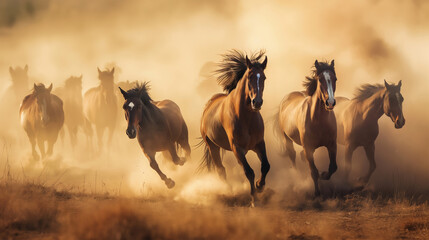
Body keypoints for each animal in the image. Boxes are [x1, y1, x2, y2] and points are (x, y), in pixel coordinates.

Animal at [200, 49, 268, 205]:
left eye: (264, 77)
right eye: (249, 76)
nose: (257, 102)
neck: (246, 118)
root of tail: (209, 104)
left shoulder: (259, 144)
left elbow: (266, 166)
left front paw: (260, 186)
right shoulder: (238, 149)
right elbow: (249, 171)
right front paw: (254, 199)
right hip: (212, 146)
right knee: (221, 170)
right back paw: (228, 191)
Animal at [274, 60, 338, 197]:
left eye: (335, 78)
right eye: (320, 79)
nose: (330, 102)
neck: (318, 120)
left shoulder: (332, 144)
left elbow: (333, 167)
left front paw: (323, 175)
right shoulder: (308, 147)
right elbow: (313, 171)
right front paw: (317, 193)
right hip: (286, 139)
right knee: (293, 156)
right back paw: (297, 177)